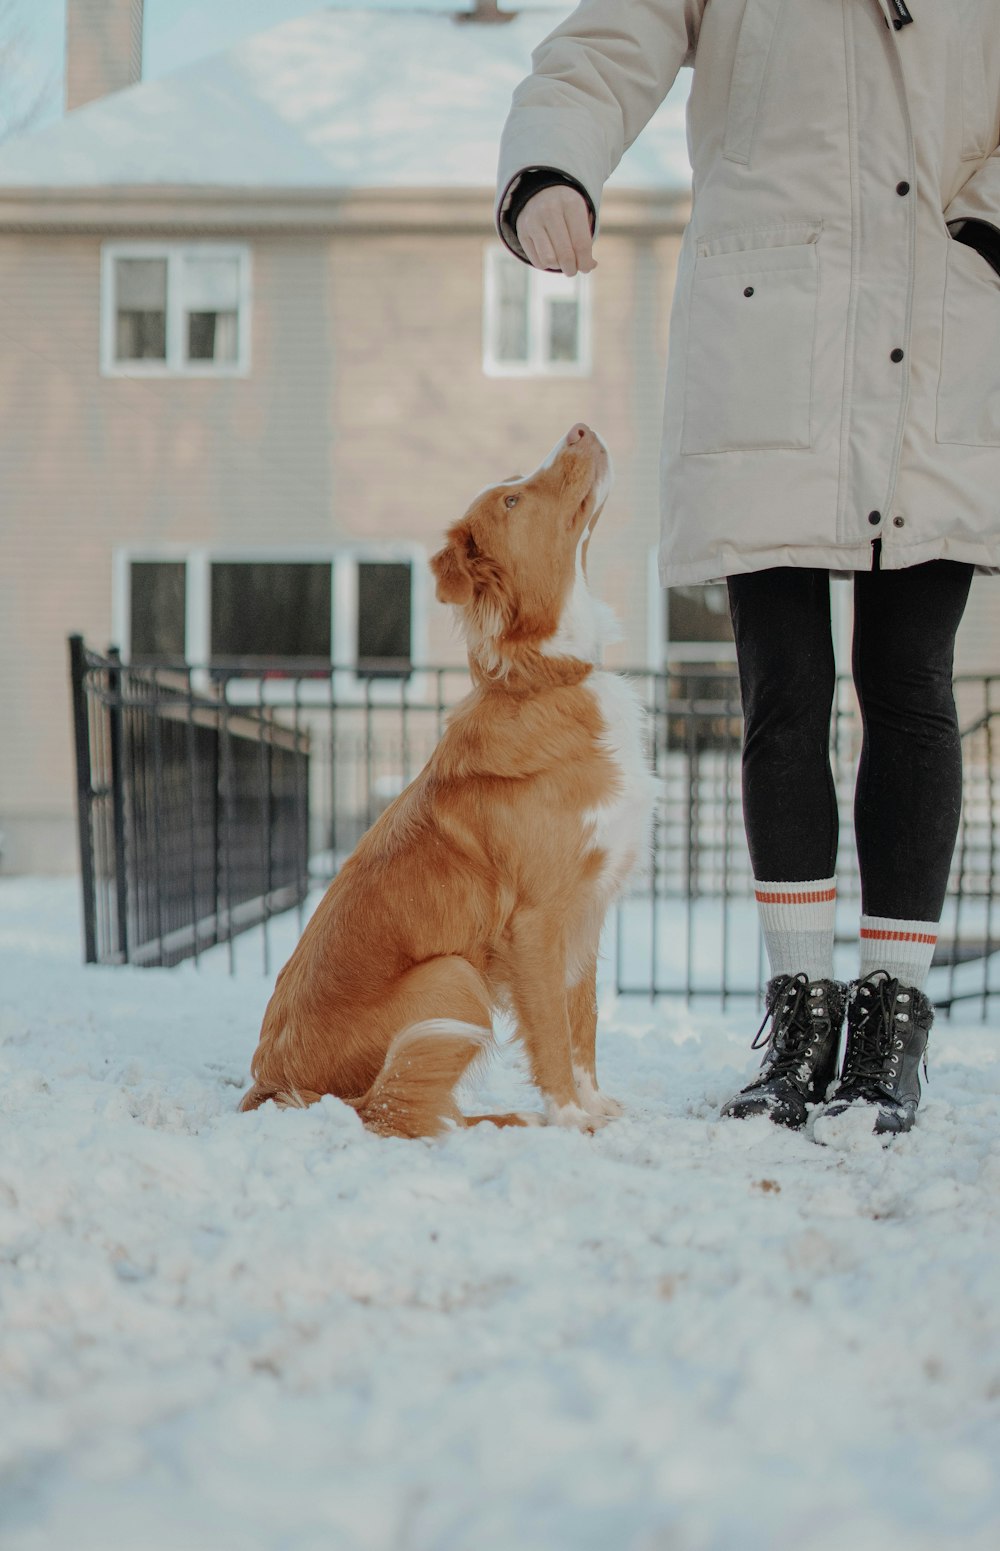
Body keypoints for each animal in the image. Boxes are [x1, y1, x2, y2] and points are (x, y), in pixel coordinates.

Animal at [240, 424, 660, 1141]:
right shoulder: (536, 923)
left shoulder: (586, 910)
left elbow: (583, 1020)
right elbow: (552, 1030)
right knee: (398, 1112)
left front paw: (594, 1103)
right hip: (453, 978)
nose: (579, 428)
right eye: (513, 501)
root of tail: (273, 1087)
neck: (546, 677)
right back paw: (507, 1120)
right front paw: (570, 1118)